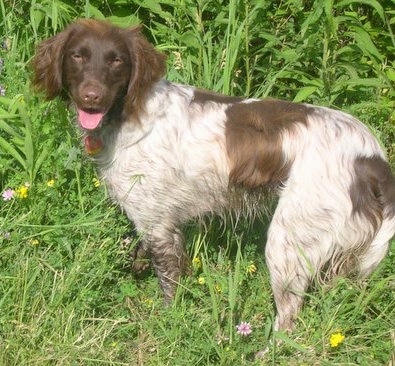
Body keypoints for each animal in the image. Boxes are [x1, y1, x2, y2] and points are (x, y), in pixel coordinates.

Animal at [31, 19, 395, 332]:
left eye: (116, 61)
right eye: (77, 55)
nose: (91, 96)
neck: (128, 113)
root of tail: (372, 159)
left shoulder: (159, 225)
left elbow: (168, 283)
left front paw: (166, 323)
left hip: (289, 240)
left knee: (288, 320)